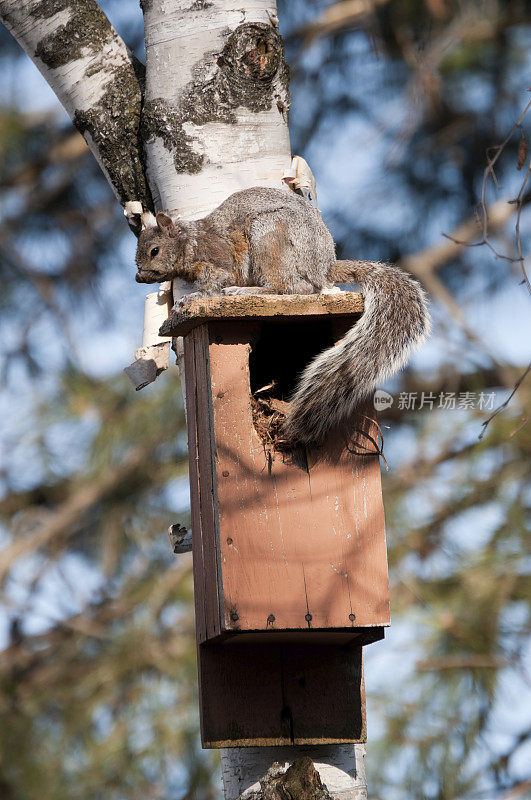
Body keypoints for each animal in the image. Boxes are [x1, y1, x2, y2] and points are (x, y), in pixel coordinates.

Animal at [135, 189, 430, 450]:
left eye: (154, 251)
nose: (138, 276)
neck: (190, 241)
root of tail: (324, 267)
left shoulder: (219, 262)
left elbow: (214, 284)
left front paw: (189, 299)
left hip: (271, 238)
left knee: (292, 288)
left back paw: (247, 291)